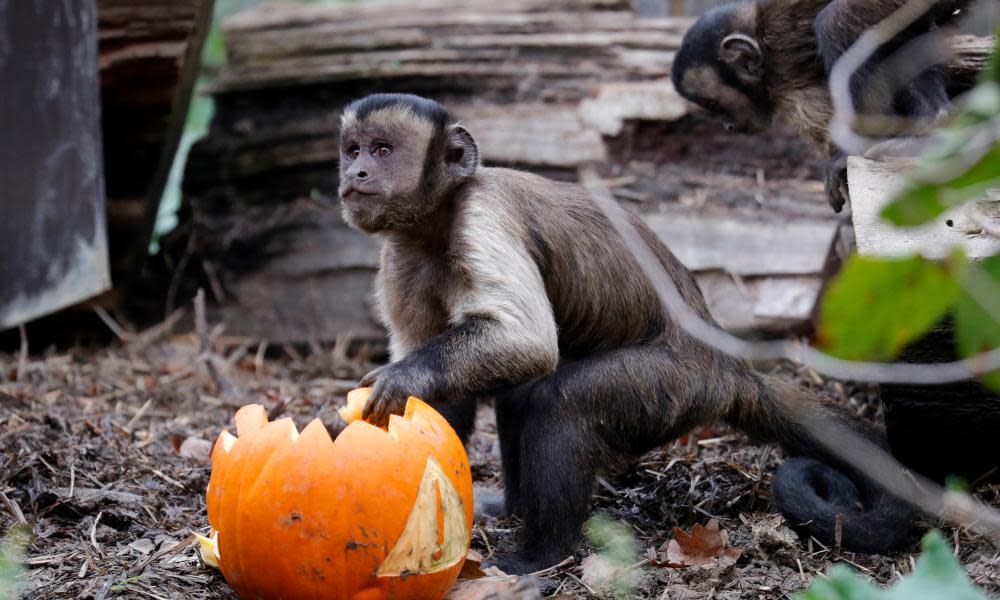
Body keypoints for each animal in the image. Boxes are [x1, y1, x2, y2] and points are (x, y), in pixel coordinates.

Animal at [338, 92, 916, 572]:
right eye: (352, 149)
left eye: (383, 150)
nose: (357, 171)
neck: (435, 223)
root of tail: (727, 368)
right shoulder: (400, 258)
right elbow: (441, 404)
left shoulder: (482, 218)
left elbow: (527, 342)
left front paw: (399, 379)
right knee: (519, 395)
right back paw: (518, 510)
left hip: (672, 388)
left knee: (559, 404)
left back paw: (541, 555)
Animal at [672, 0, 976, 212]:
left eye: (712, 103)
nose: (728, 125)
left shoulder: (789, 88)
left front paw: (843, 156)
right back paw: (933, 122)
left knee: (835, 22)